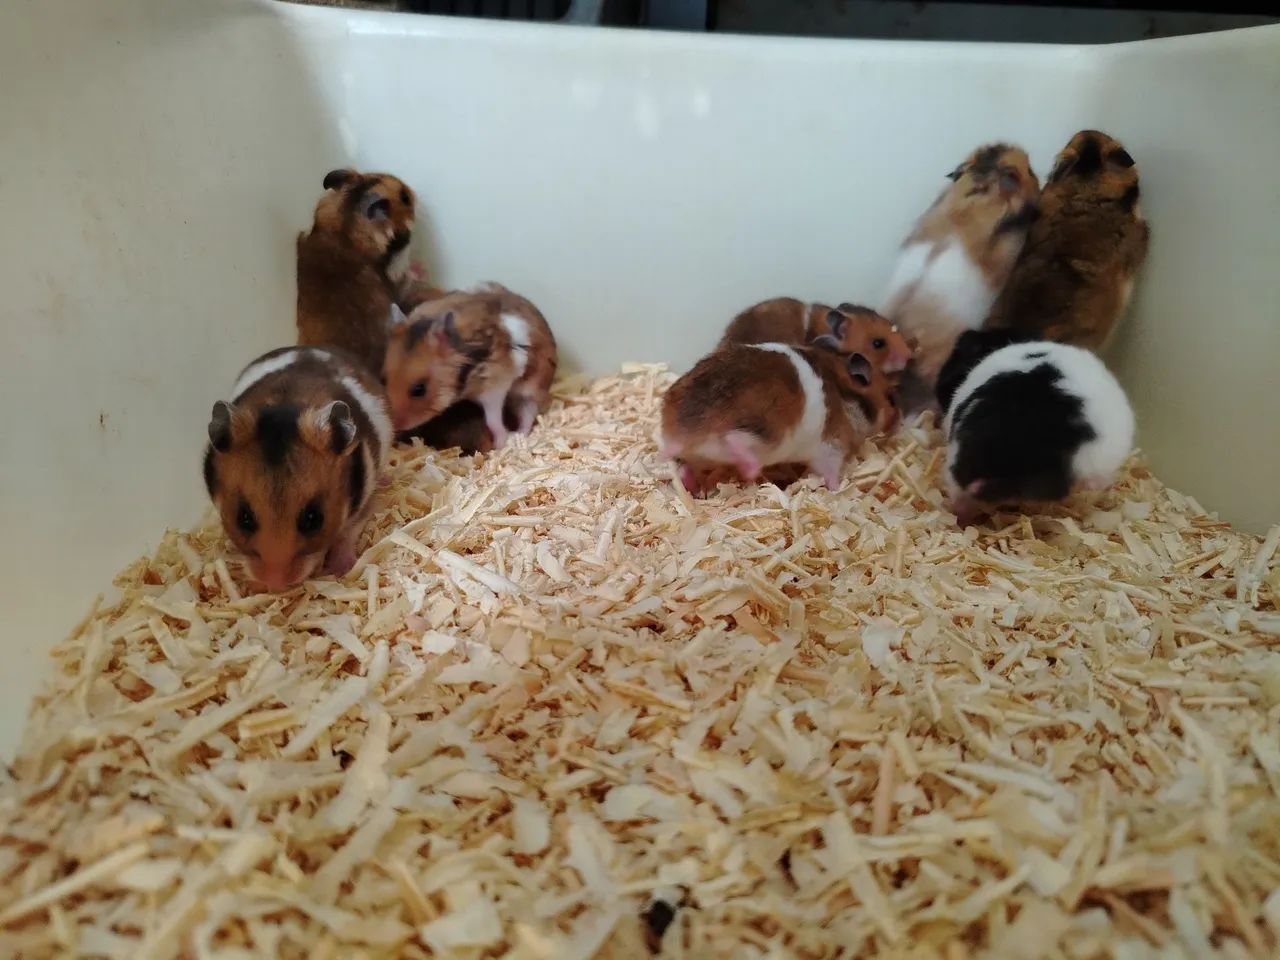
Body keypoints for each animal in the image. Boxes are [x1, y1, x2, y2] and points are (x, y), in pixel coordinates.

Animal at [203, 346, 391, 591]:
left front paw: (341, 570)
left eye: (313, 519)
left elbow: (346, 535)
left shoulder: (362, 506)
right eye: (243, 518)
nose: (275, 581)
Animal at [383, 284, 557, 447]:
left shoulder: (495, 388)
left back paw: (518, 435)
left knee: (528, 413)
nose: (395, 426)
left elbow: (493, 419)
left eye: (419, 389)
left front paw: (501, 442)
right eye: (384, 379)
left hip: (531, 387)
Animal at [659, 340, 874, 493]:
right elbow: (830, 471)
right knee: (736, 439)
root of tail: (686, 434)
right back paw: (751, 472)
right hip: (765, 431)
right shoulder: (831, 447)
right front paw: (836, 489)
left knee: (684, 466)